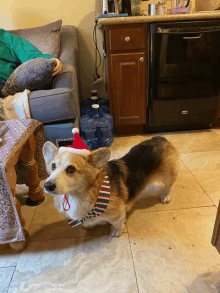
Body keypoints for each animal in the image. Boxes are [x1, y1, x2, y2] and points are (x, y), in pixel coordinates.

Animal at [42, 136, 179, 236]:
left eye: (71, 169)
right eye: (53, 166)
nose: (47, 186)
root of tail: (161, 138)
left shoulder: (116, 214)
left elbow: (117, 223)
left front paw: (117, 231)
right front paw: (88, 224)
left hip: (168, 174)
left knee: (168, 185)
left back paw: (166, 196)